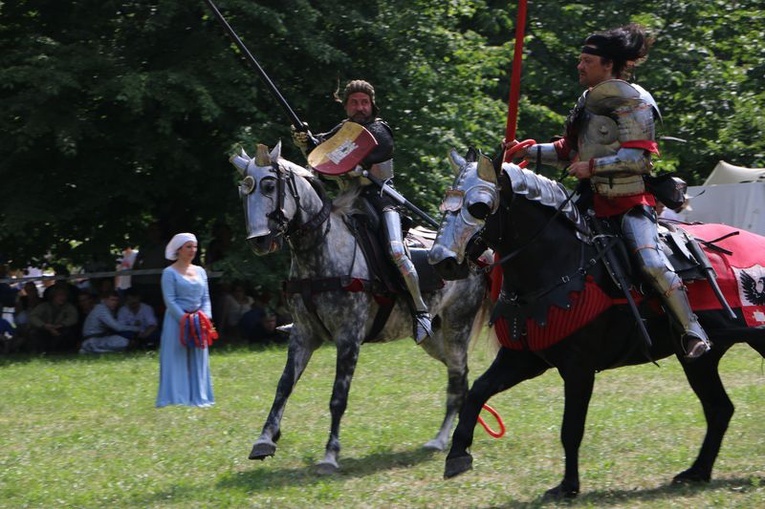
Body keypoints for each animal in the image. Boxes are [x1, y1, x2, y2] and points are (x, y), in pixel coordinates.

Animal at [228, 142, 490, 472]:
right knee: (461, 377)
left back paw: (440, 440)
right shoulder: (303, 335)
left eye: (269, 185)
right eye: (243, 191)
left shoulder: (348, 338)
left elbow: (338, 397)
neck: (320, 251)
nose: (259, 241)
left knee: (457, 378)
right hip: (433, 339)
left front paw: (330, 455)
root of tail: (475, 256)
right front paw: (264, 440)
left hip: (457, 327)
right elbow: (284, 386)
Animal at [426, 147, 764, 496]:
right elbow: (478, 391)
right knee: (719, 408)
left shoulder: (579, 368)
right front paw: (457, 453)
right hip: (699, 360)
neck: (559, 262)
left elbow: (571, 428)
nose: (441, 261)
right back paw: (697, 471)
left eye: (478, 206)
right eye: (445, 202)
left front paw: (567, 486)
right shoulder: (524, 358)